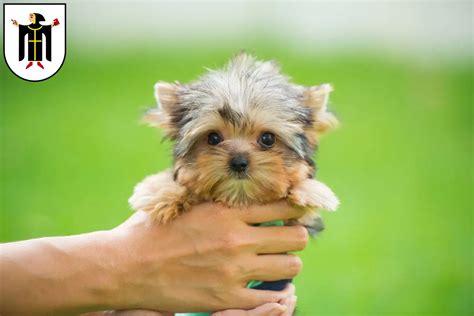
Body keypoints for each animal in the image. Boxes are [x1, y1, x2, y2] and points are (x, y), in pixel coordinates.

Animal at [129, 52, 336, 235]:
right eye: (213, 138)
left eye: (267, 139)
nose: (238, 163)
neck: (239, 198)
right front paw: (160, 192)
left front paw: (311, 191)